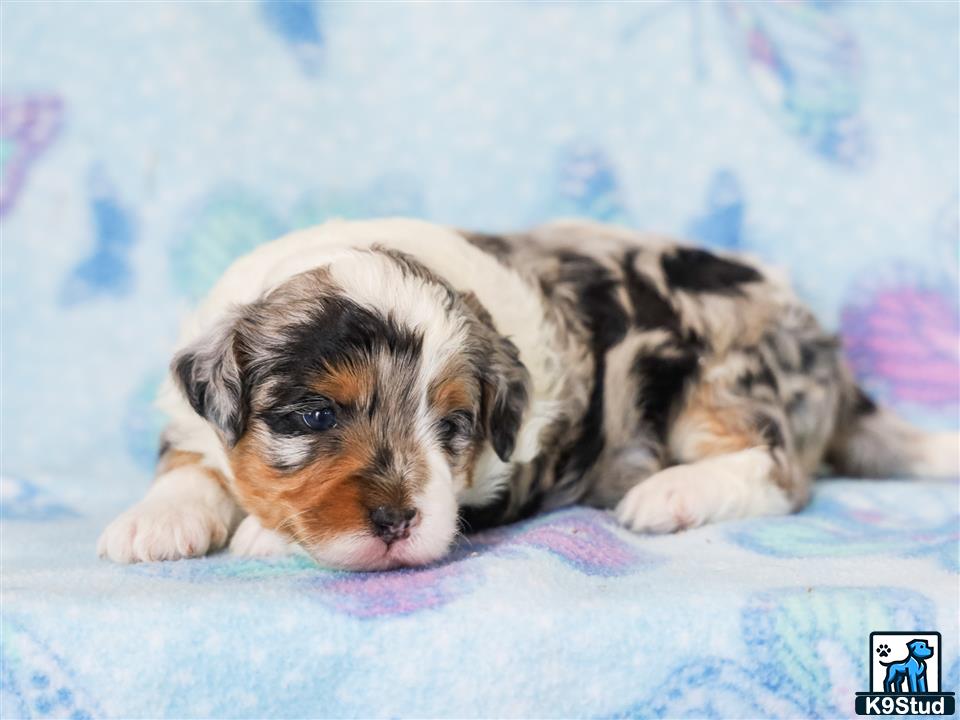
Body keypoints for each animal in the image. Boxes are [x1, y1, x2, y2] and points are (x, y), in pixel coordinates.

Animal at [99, 218, 960, 568]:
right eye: (313, 415)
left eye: (454, 424)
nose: (397, 522)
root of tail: (829, 355)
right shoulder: (192, 413)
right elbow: (190, 464)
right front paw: (152, 524)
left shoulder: (505, 474)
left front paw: (266, 534)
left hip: (724, 376)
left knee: (778, 472)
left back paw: (669, 495)